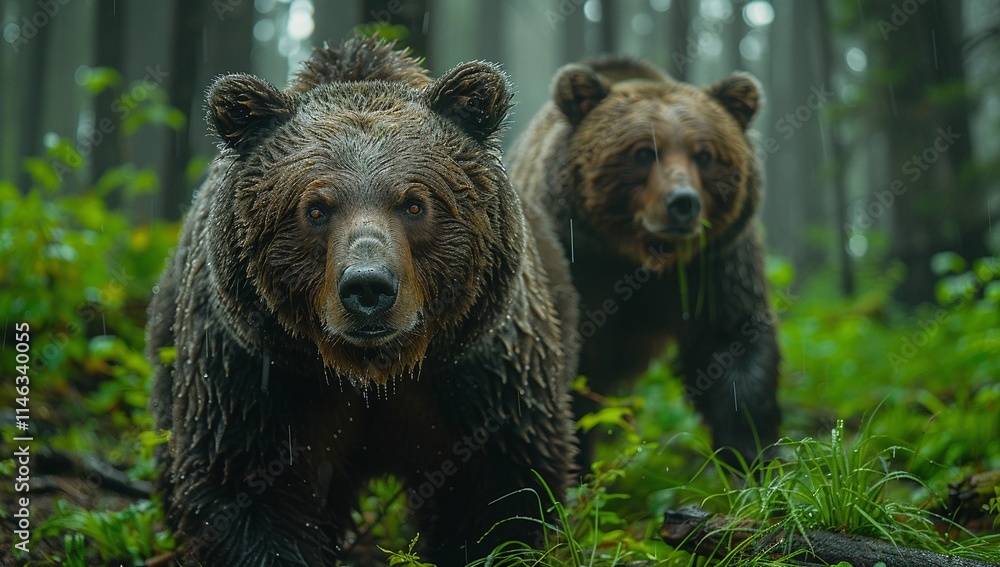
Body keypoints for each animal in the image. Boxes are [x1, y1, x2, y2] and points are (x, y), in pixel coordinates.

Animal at [146, 37, 578, 566]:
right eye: (315, 209)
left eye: (414, 203)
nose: (368, 286)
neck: (372, 372)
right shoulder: (253, 375)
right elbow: (247, 491)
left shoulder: (480, 373)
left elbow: (501, 493)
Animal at [507, 57, 780, 468]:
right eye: (644, 152)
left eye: (704, 154)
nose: (682, 202)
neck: (635, 257)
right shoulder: (571, 262)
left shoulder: (715, 265)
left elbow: (732, 346)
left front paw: (752, 456)